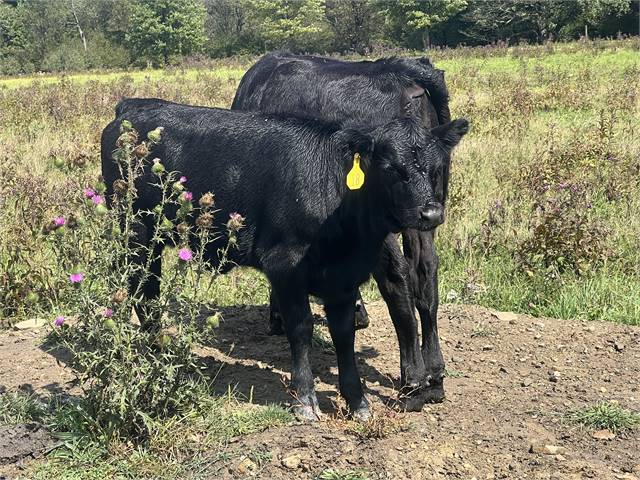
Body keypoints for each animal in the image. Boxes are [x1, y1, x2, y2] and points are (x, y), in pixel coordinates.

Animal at [102, 98, 468, 420]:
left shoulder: (343, 277)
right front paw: (305, 399)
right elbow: (301, 326)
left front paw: (357, 401)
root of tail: (132, 107)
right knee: (142, 287)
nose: (431, 213)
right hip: (134, 229)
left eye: (436, 169)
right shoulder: (285, 264)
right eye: (391, 169)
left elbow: (344, 334)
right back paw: (152, 352)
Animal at [234, 51, 456, 404]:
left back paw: (414, 379)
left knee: (397, 276)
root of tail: (402, 69)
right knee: (426, 271)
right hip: (425, 206)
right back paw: (434, 373)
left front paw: (278, 315)